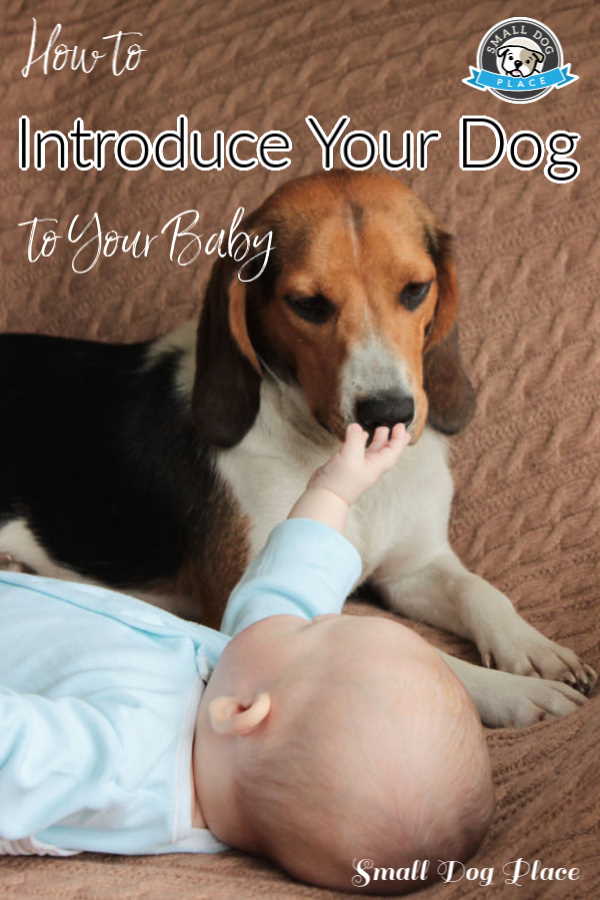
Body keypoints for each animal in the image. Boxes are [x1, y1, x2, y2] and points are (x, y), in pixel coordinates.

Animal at [0, 172, 592, 728]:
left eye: (415, 290)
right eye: (308, 305)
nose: (387, 413)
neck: (347, 468)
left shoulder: (415, 567)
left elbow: (479, 593)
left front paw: (532, 651)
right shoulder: (257, 607)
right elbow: (416, 651)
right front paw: (516, 692)